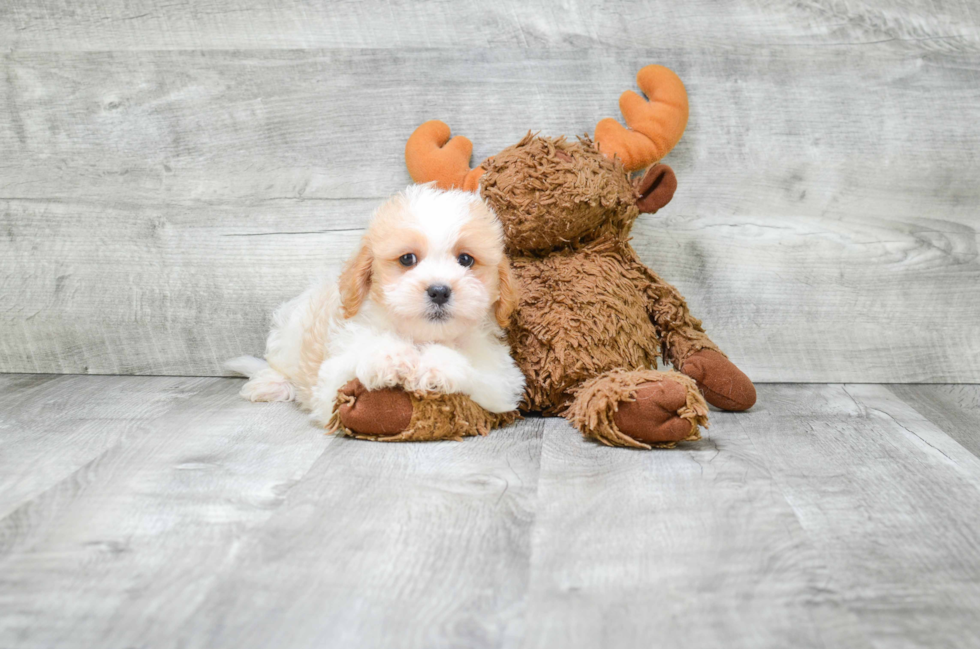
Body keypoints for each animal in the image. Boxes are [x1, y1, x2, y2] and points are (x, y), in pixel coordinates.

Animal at [226, 182, 524, 426]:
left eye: (465, 260)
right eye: (407, 259)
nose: (439, 291)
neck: (420, 337)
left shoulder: (502, 381)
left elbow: (480, 377)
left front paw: (437, 366)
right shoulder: (331, 384)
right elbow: (353, 365)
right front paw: (391, 357)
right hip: (289, 333)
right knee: (280, 365)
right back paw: (270, 384)